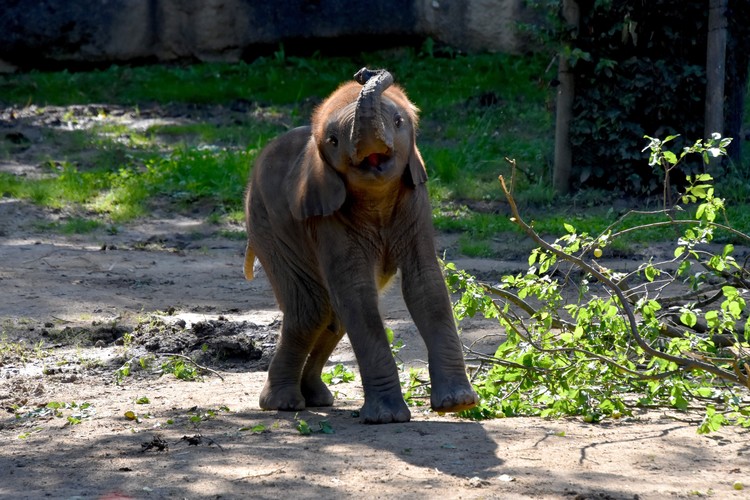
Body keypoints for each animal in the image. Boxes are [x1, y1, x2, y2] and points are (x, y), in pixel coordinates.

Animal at [245, 66, 482, 424]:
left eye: (398, 122)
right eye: (333, 141)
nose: (365, 72)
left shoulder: (416, 197)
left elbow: (425, 284)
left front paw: (458, 404)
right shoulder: (326, 214)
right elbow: (357, 295)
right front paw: (387, 418)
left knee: (332, 315)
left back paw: (316, 398)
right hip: (266, 225)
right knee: (310, 310)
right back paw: (282, 404)